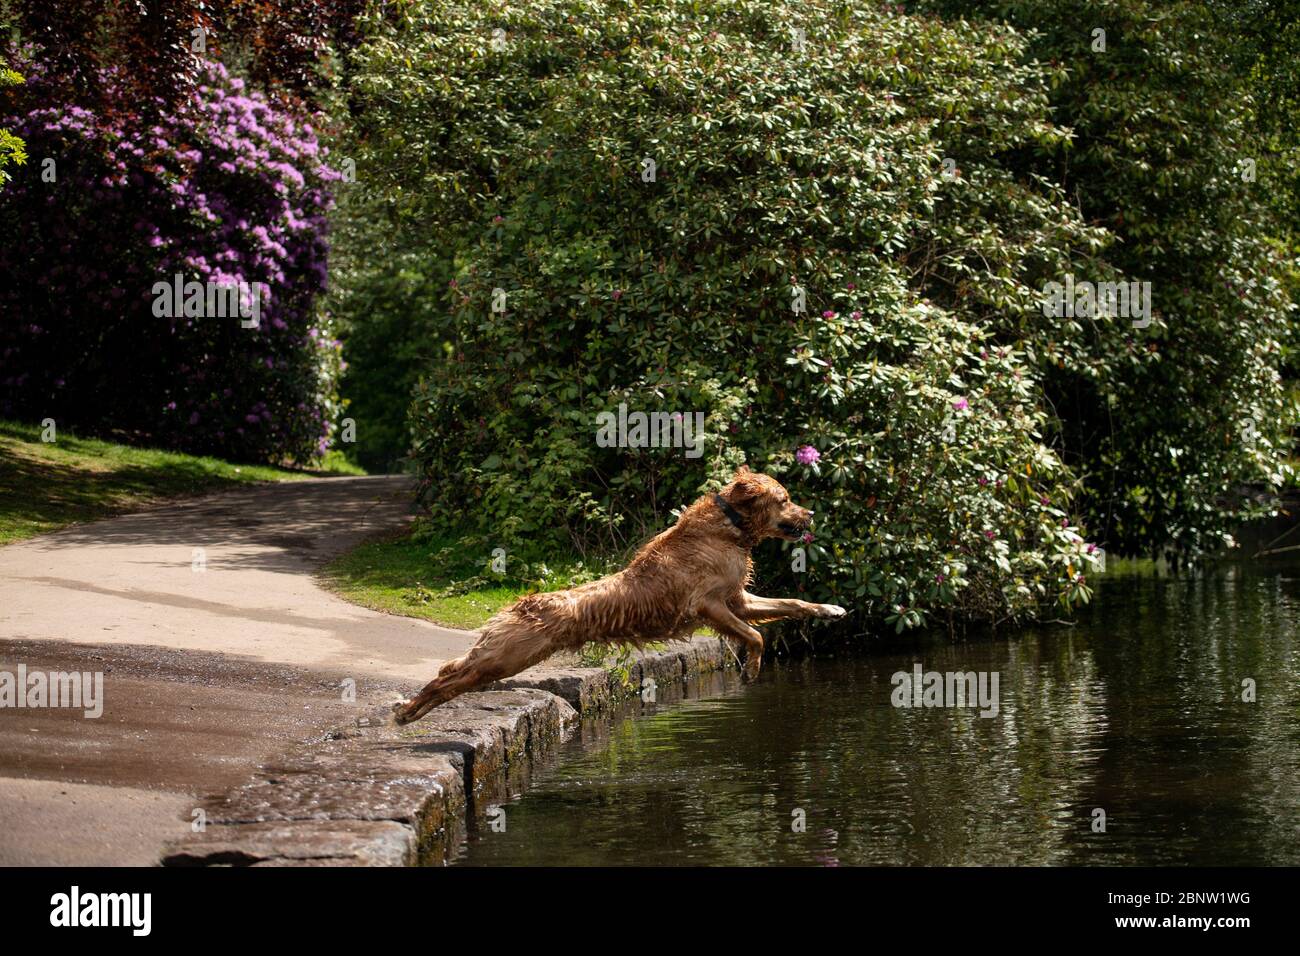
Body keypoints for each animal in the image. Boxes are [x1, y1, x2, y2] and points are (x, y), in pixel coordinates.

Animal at [390, 465, 847, 723]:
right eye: (784, 498)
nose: (810, 513)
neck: (728, 528)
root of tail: (522, 603)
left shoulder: (738, 599)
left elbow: (790, 604)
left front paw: (830, 608)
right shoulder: (708, 604)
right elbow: (756, 635)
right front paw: (751, 668)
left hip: (503, 655)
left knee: (453, 671)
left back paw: (413, 710)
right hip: (509, 656)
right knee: (451, 678)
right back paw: (408, 711)